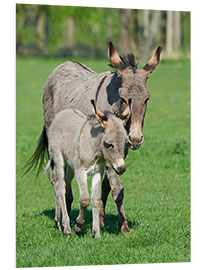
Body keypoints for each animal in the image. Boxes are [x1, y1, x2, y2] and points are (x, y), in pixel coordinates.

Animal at [45, 100, 129, 237]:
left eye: (126, 143)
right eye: (109, 144)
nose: (121, 168)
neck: (94, 148)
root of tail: (64, 112)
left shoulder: (98, 171)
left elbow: (96, 200)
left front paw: (97, 233)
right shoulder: (80, 170)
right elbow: (84, 199)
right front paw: (78, 227)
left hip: (70, 167)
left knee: (66, 185)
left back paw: (62, 223)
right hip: (58, 158)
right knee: (60, 188)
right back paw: (67, 229)